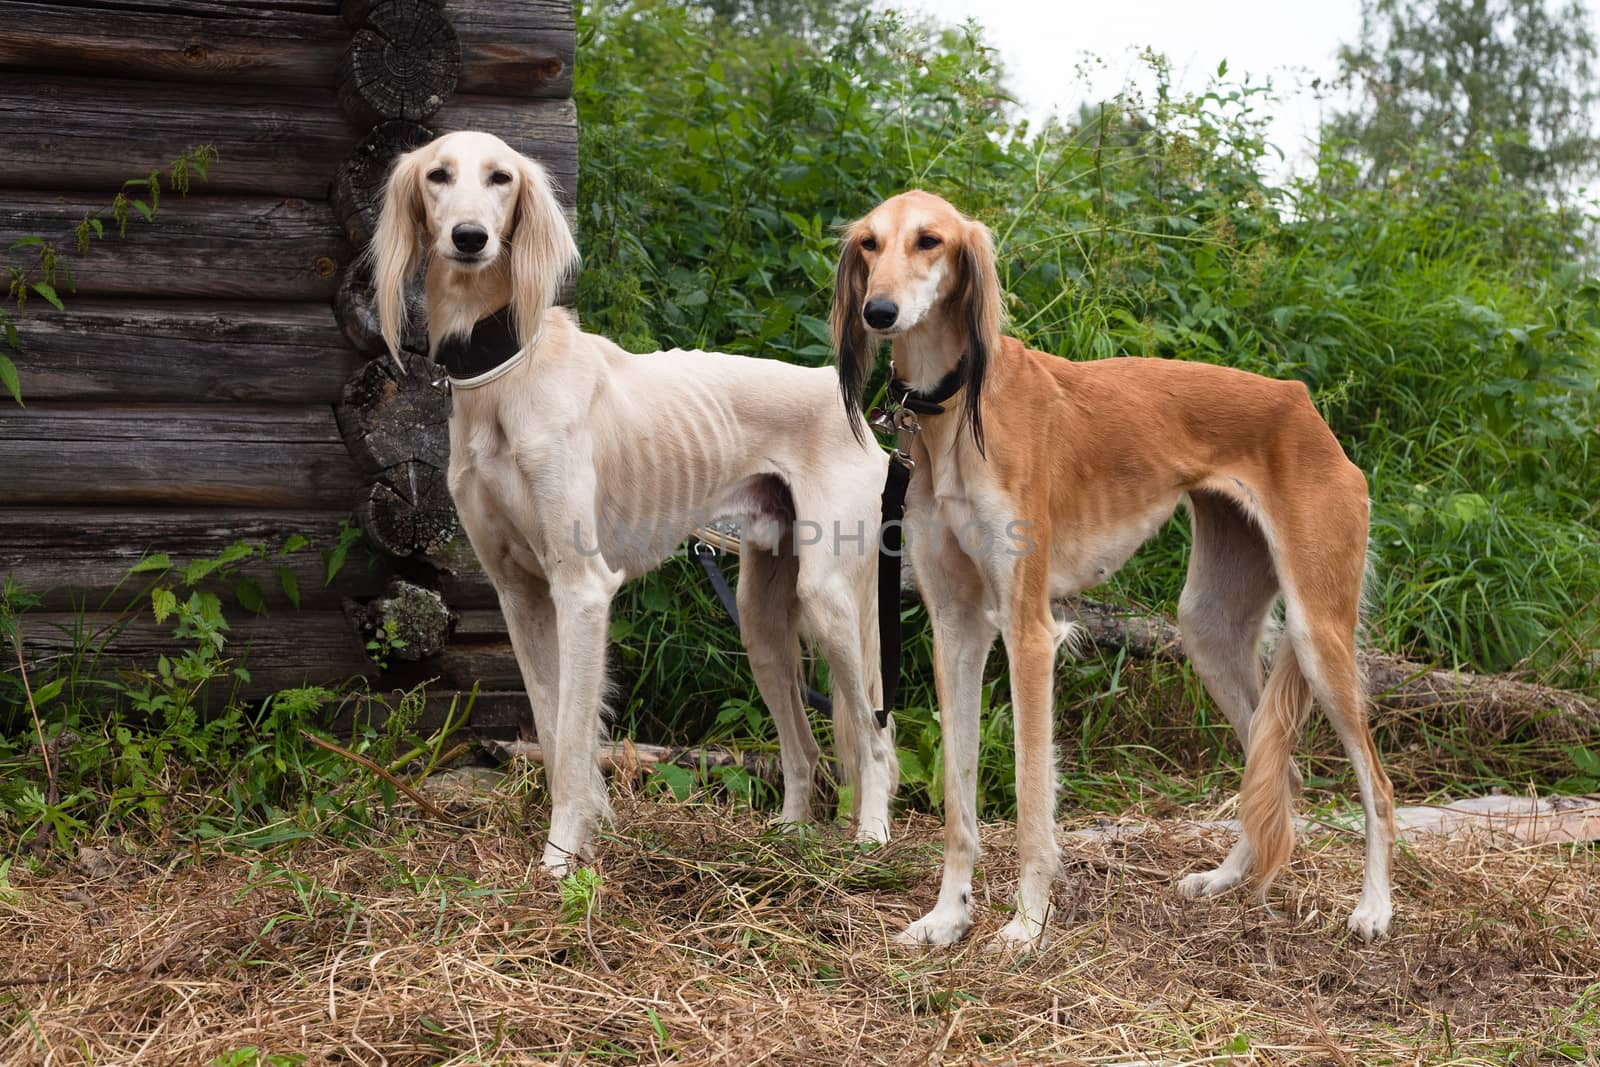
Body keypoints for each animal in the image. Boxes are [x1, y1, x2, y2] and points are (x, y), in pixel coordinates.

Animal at [374, 131, 902, 876]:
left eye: (501, 177)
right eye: (438, 175)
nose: (470, 238)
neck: (507, 373)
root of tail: (857, 410)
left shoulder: (582, 587)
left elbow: (572, 734)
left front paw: (562, 856)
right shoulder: (518, 594)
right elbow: (550, 726)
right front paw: (583, 835)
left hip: (830, 596)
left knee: (873, 732)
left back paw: (871, 837)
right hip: (761, 616)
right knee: (802, 748)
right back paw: (789, 835)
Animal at [832, 189, 1395, 953]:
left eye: (929, 240)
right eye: (869, 243)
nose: (879, 312)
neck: (953, 410)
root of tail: (1301, 403)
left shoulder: (1029, 631)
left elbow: (1032, 794)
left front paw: (1026, 924)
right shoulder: (956, 626)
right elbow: (958, 796)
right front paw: (948, 916)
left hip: (1319, 630)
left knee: (1375, 784)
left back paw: (1375, 908)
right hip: (1209, 627)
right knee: (1275, 768)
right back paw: (1222, 880)